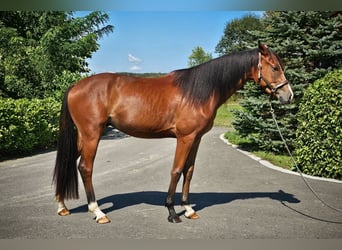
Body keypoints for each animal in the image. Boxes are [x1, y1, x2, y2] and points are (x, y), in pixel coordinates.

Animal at [53, 42, 294, 224]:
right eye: (274, 67)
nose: (288, 95)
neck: (199, 91)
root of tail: (74, 87)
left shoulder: (196, 138)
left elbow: (189, 171)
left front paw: (188, 209)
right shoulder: (185, 138)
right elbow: (176, 171)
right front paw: (171, 212)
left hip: (83, 137)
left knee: (68, 161)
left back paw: (62, 205)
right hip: (92, 135)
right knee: (85, 168)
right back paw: (98, 211)